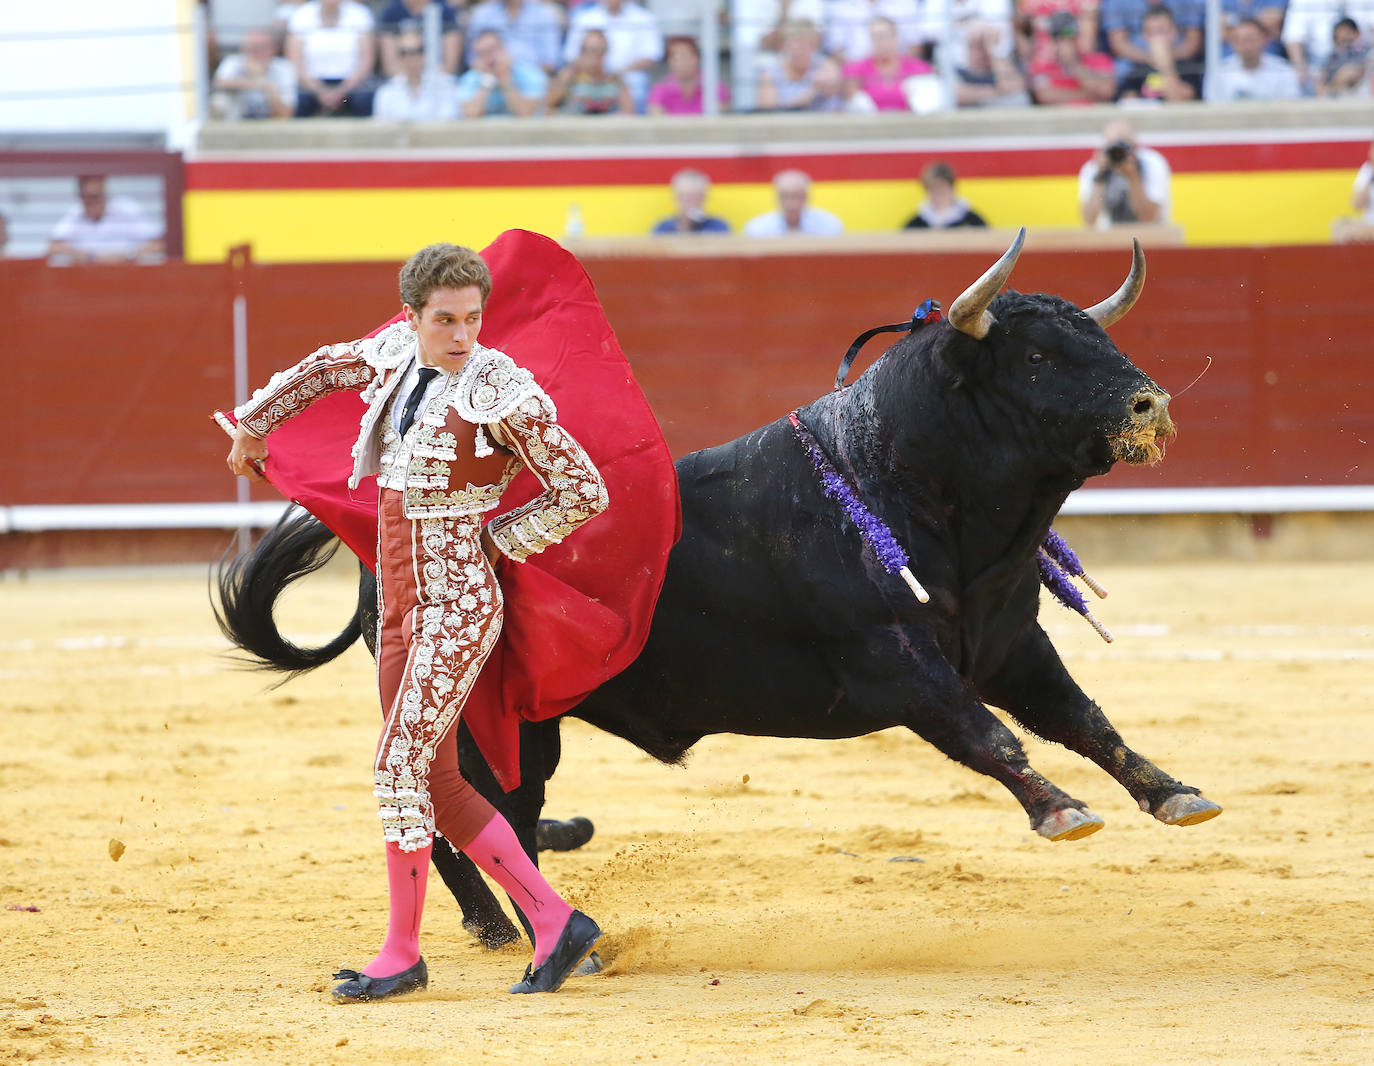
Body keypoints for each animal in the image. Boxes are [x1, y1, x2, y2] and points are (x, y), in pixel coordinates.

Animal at [217, 234, 1225, 950]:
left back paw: (524, 920)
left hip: (524, 724)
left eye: (1100, 336)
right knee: (454, 801)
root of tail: (378, 549)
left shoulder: (1012, 644)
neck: (909, 485)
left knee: (506, 812)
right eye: (1037, 358)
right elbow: (989, 734)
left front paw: (1175, 792)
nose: (1151, 405)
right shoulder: (895, 661)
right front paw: (1061, 811)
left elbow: (1084, 718)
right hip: (470, 712)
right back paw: (501, 928)